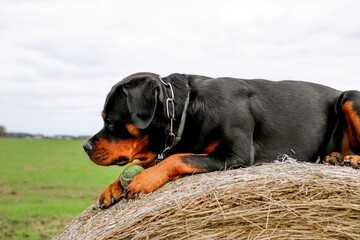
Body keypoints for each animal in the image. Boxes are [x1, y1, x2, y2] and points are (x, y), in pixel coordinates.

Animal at [83, 72, 360, 209]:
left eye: (110, 121)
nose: (86, 147)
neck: (187, 110)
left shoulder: (235, 156)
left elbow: (177, 158)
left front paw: (143, 181)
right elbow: (155, 160)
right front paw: (112, 188)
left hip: (351, 97)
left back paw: (351, 160)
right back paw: (336, 157)